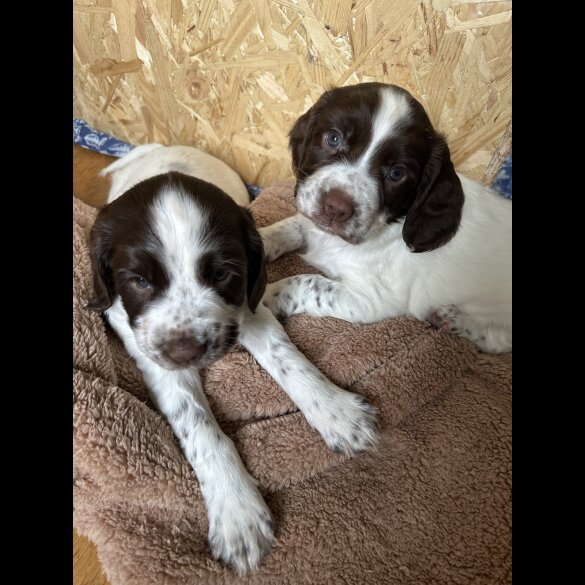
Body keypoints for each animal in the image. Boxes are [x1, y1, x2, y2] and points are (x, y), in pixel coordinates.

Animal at [86, 144, 378, 572]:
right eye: (138, 281)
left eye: (222, 274)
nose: (187, 352)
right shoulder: (149, 347)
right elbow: (199, 424)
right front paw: (236, 509)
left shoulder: (246, 303)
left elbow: (288, 359)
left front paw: (337, 412)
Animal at [260, 82, 512, 354]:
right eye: (333, 138)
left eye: (396, 174)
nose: (336, 207)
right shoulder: (311, 223)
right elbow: (287, 228)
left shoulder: (372, 300)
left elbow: (308, 283)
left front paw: (265, 296)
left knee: (498, 340)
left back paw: (454, 320)